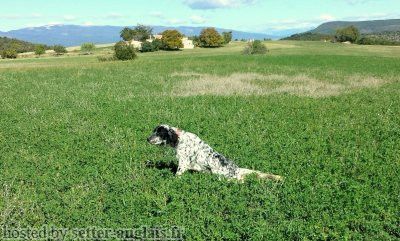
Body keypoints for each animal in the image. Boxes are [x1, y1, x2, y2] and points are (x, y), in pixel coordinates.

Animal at [146, 125, 282, 182]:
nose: (147, 139)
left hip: (220, 176)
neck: (179, 138)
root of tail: (237, 169)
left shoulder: (183, 163)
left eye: (159, 132)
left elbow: (177, 174)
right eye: (154, 131)